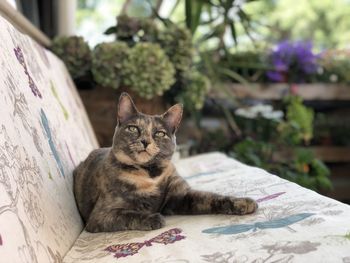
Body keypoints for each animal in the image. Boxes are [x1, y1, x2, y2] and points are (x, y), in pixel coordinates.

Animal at [73, 93, 258, 233]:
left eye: (159, 133)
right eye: (133, 128)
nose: (145, 141)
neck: (150, 174)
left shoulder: (182, 195)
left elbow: (213, 197)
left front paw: (244, 202)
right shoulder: (100, 215)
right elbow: (129, 215)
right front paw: (153, 218)